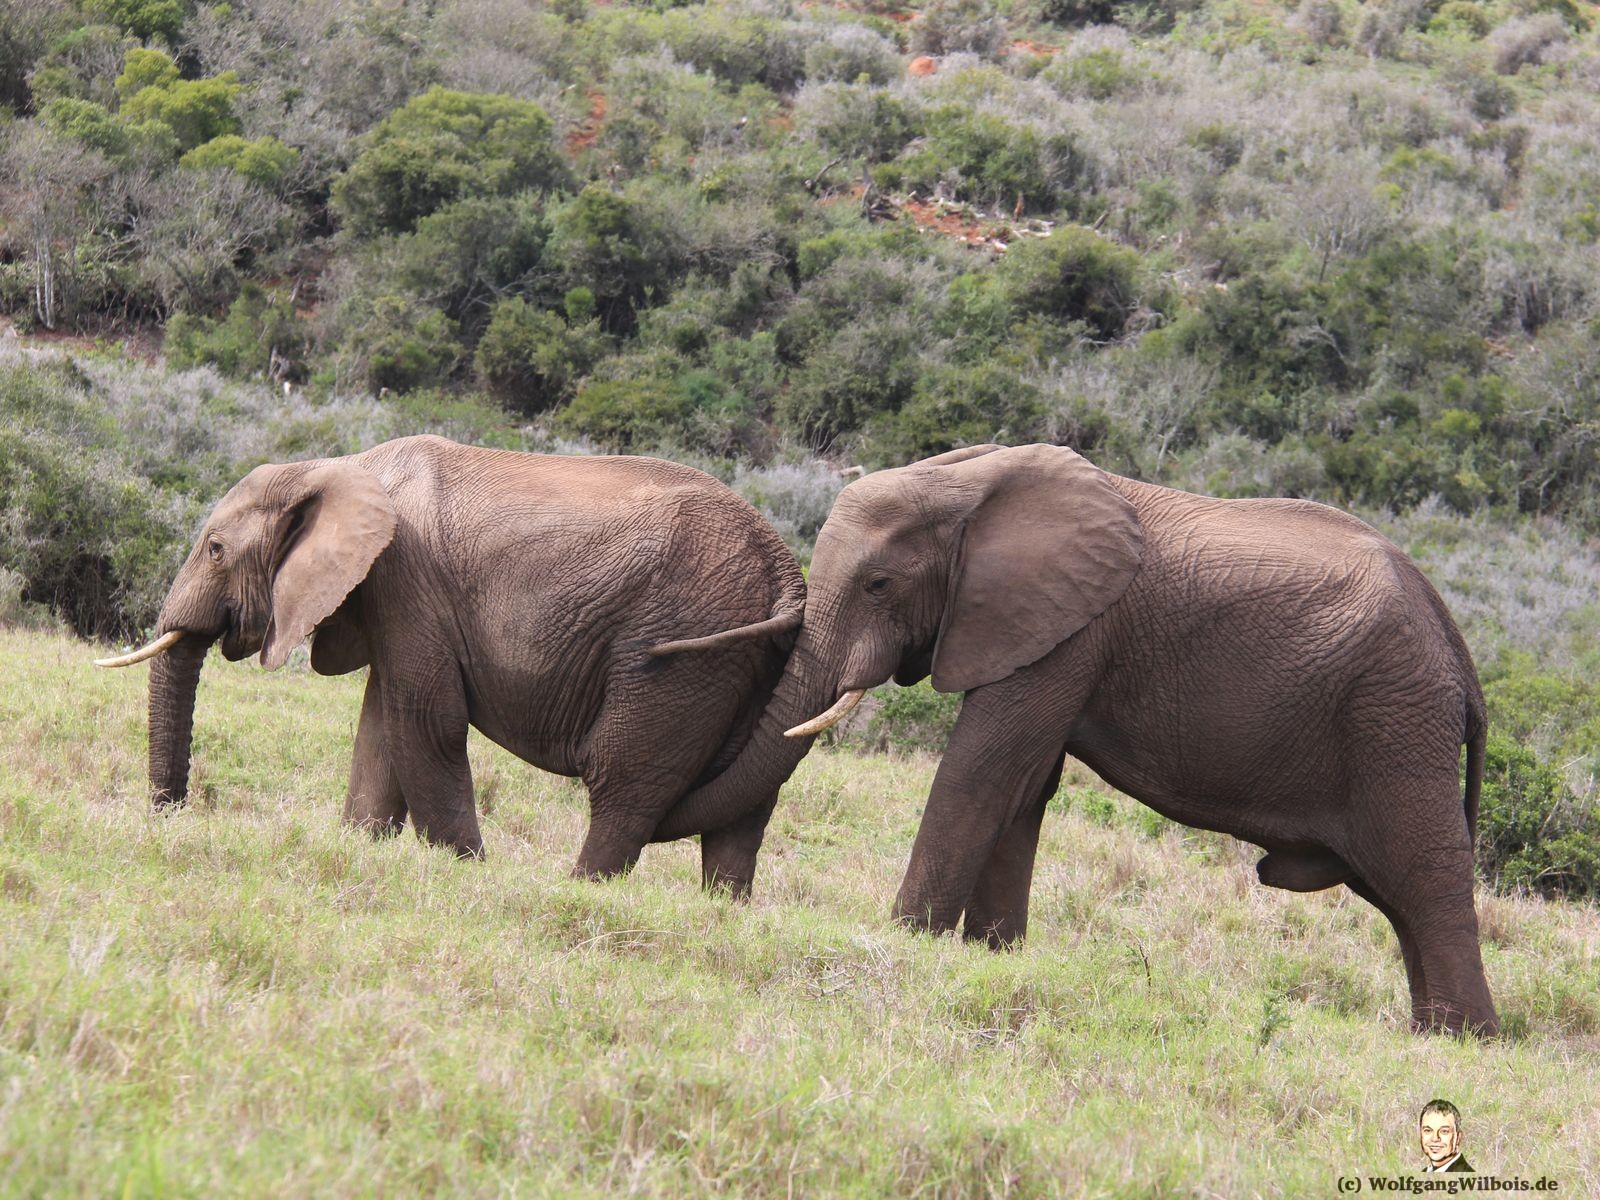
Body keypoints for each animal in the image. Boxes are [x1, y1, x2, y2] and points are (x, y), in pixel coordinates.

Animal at [93, 432, 806, 896]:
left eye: (215, 548)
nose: (173, 818)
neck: (332, 469)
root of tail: (784, 566)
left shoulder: (406, 581)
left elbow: (424, 723)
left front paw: (465, 872)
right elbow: (381, 727)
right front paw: (360, 846)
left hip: (685, 646)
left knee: (623, 780)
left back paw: (579, 892)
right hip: (749, 666)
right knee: (745, 805)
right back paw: (719, 913)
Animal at [665, 448, 1497, 1036]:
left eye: (878, 585)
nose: (732, 900)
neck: (971, 483)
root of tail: (1460, 650)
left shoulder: (1070, 632)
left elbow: (984, 770)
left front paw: (904, 943)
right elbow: (1024, 788)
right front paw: (990, 957)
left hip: (1394, 719)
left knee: (1421, 872)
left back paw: (1464, 1042)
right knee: (1398, 894)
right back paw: (1431, 1034)